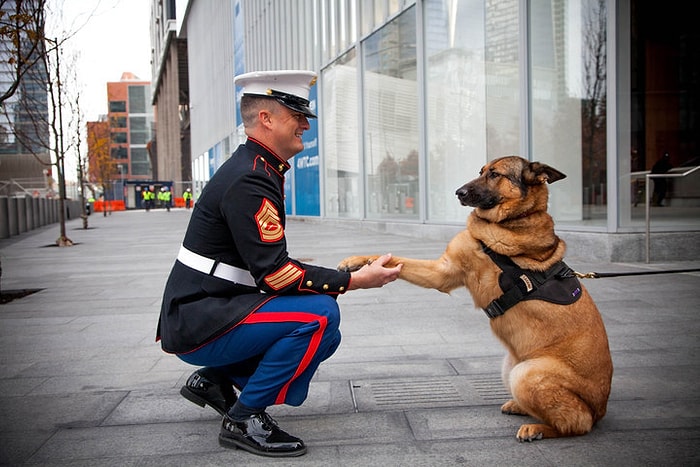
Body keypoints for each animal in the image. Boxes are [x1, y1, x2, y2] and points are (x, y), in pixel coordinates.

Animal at [340, 157, 612, 442]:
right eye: (480, 171)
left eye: (494, 174)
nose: (458, 192)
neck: (512, 220)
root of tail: (600, 409)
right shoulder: (442, 272)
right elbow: (393, 259)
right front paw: (357, 262)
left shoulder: (444, 273)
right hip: (509, 367)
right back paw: (519, 407)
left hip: (526, 374)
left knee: (576, 423)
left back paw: (537, 429)